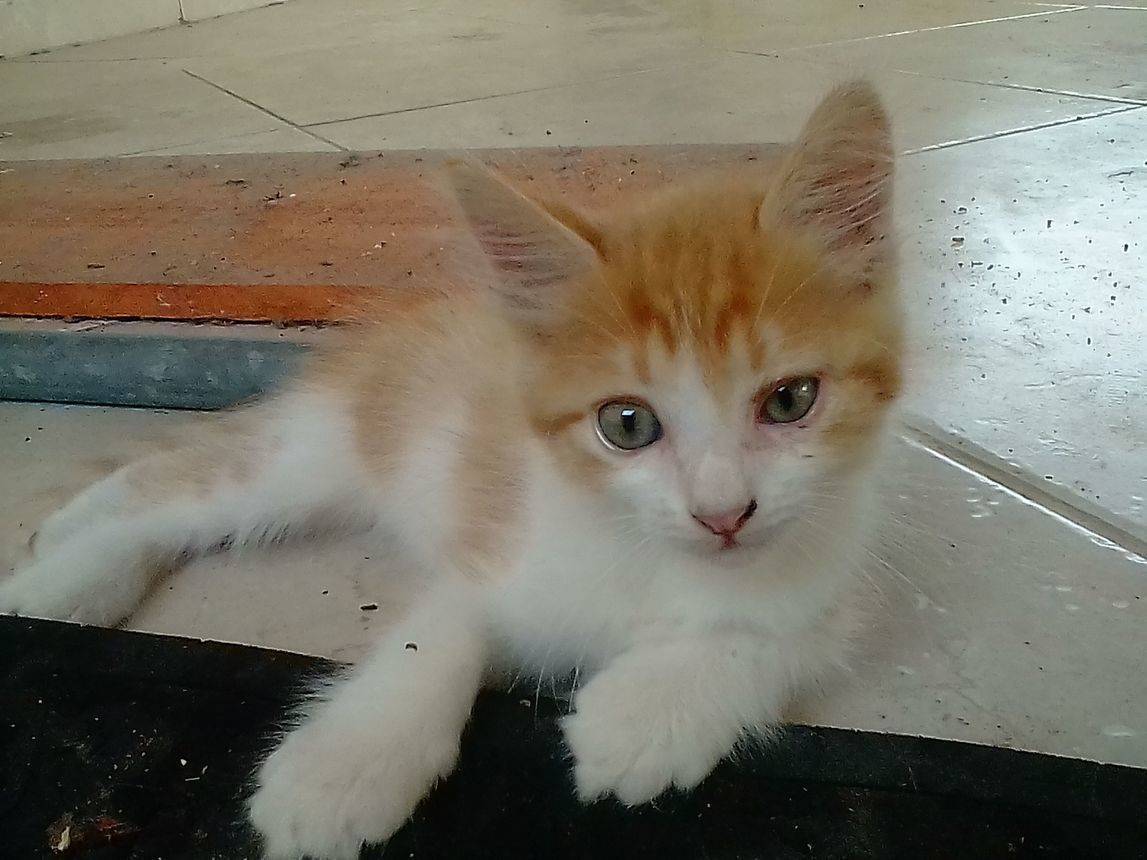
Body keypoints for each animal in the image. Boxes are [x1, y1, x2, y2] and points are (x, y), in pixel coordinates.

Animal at [0, 81, 902, 860]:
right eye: (627, 424)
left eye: (789, 400)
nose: (722, 514)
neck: (647, 557)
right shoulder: (501, 543)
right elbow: (438, 629)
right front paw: (343, 767)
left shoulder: (834, 581)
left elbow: (781, 640)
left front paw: (646, 715)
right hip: (325, 450)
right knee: (179, 486)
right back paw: (59, 569)